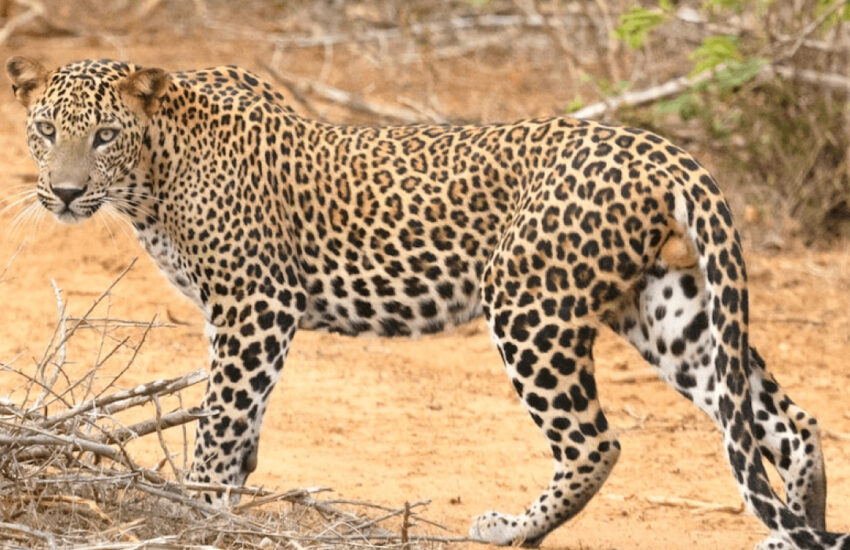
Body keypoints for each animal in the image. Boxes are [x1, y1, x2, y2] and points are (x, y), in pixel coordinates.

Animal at [6, 56, 848, 549]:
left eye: (104, 135)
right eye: (44, 130)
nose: (64, 192)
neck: (153, 175)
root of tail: (660, 149)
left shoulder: (255, 302)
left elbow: (220, 420)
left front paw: (192, 509)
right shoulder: (246, 316)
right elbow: (242, 425)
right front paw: (226, 500)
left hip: (529, 303)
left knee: (595, 443)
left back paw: (510, 529)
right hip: (670, 308)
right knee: (784, 422)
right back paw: (797, 528)